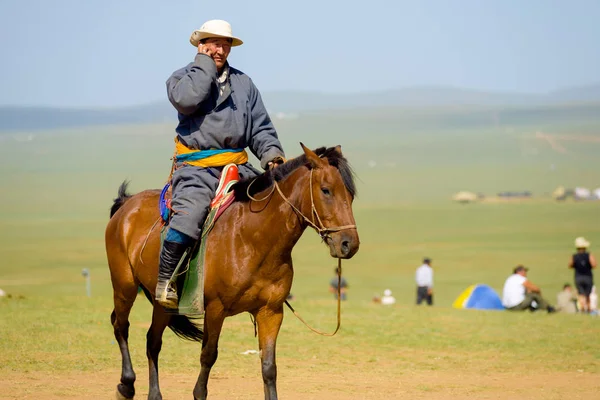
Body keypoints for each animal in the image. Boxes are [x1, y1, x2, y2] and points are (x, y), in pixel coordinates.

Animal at [105, 142, 358, 398]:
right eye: (326, 190)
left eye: (351, 195)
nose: (349, 244)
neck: (252, 238)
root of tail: (127, 203)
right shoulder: (216, 309)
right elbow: (208, 355)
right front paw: (198, 393)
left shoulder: (271, 312)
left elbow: (269, 367)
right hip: (125, 286)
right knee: (120, 326)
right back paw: (126, 385)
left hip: (163, 304)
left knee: (153, 341)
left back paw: (154, 394)